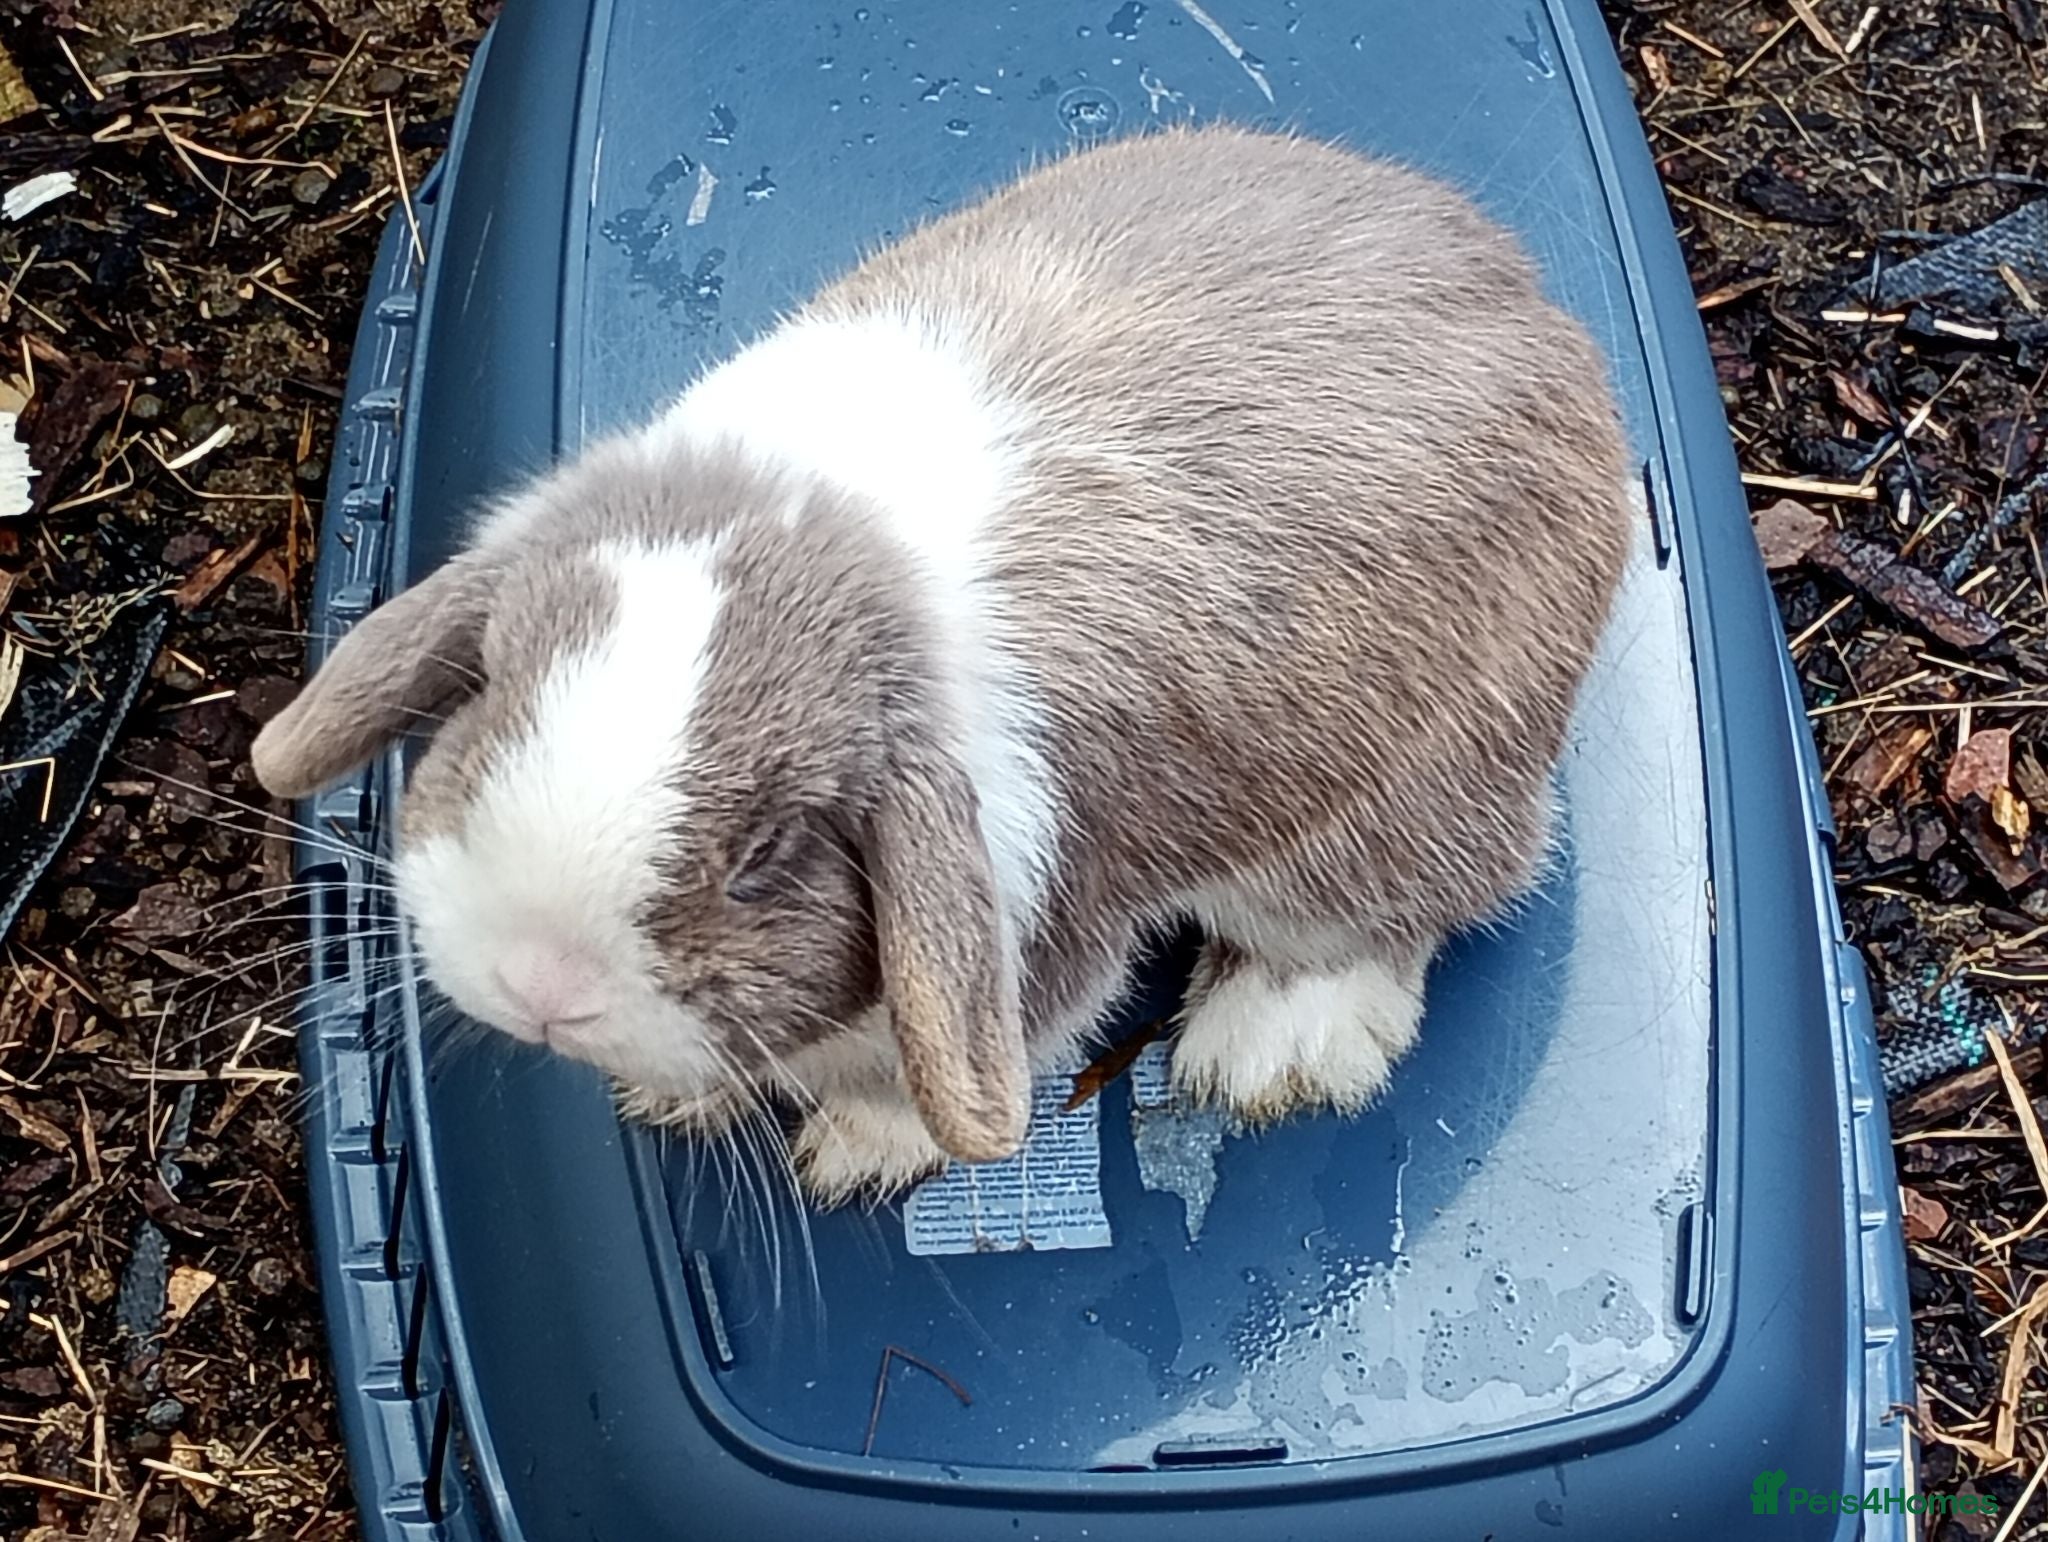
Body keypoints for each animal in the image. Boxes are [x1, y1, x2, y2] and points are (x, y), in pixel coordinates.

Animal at [252, 122, 1635, 1206]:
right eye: (490, 706)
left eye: (765, 859)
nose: (539, 986)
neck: (831, 539)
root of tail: (1549, 324)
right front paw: (669, 1093)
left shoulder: (1040, 933)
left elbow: (938, 1066)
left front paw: (852, 1153)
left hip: (1389, 815)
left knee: (1419, 909)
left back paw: (1271, 1054)